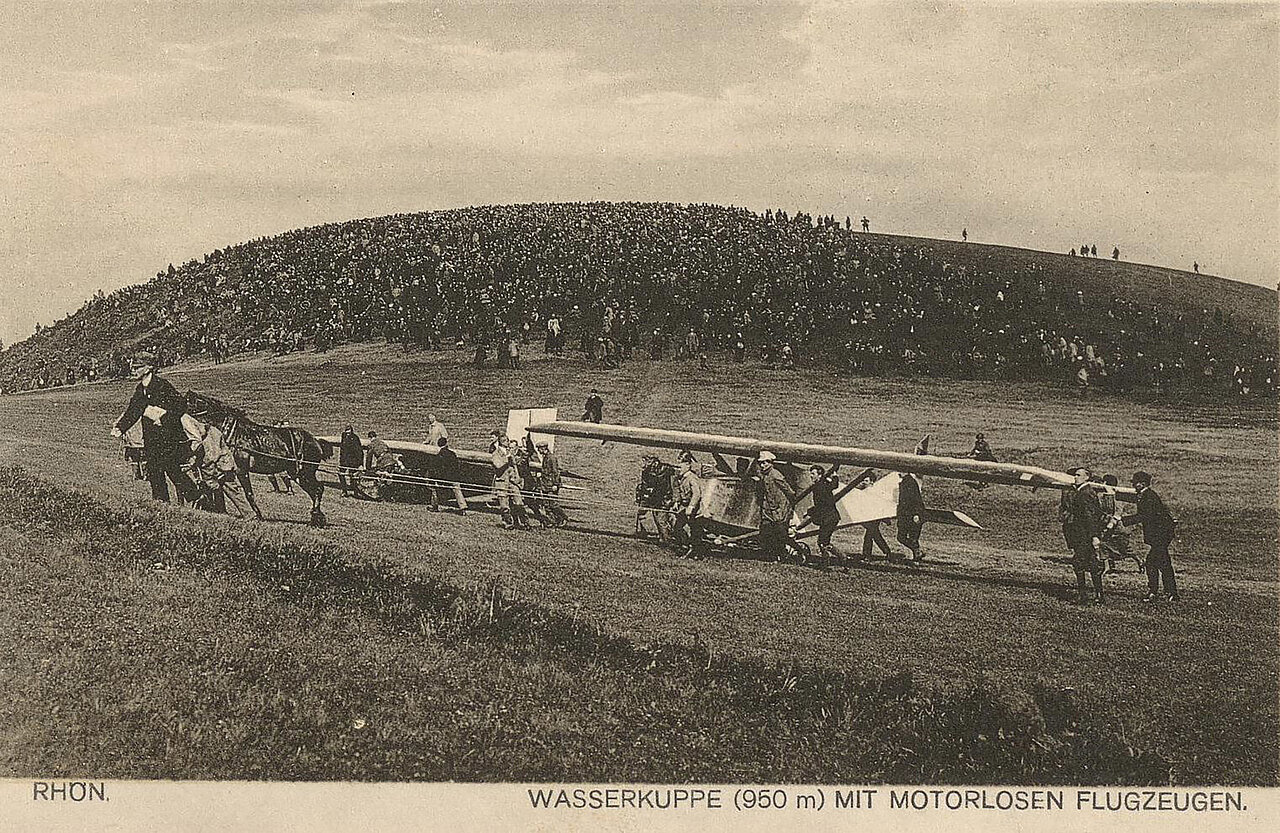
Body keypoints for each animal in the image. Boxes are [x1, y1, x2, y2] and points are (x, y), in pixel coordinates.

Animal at [184, 391, 327, 524]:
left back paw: (317, 517)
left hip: (304, 473)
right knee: (315, 491)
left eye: (186, 403)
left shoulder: (241, 470)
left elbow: (248, 494)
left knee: (318, 489)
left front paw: (257, 515)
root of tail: (316, 441)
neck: (234, 434)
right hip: (297, 473)